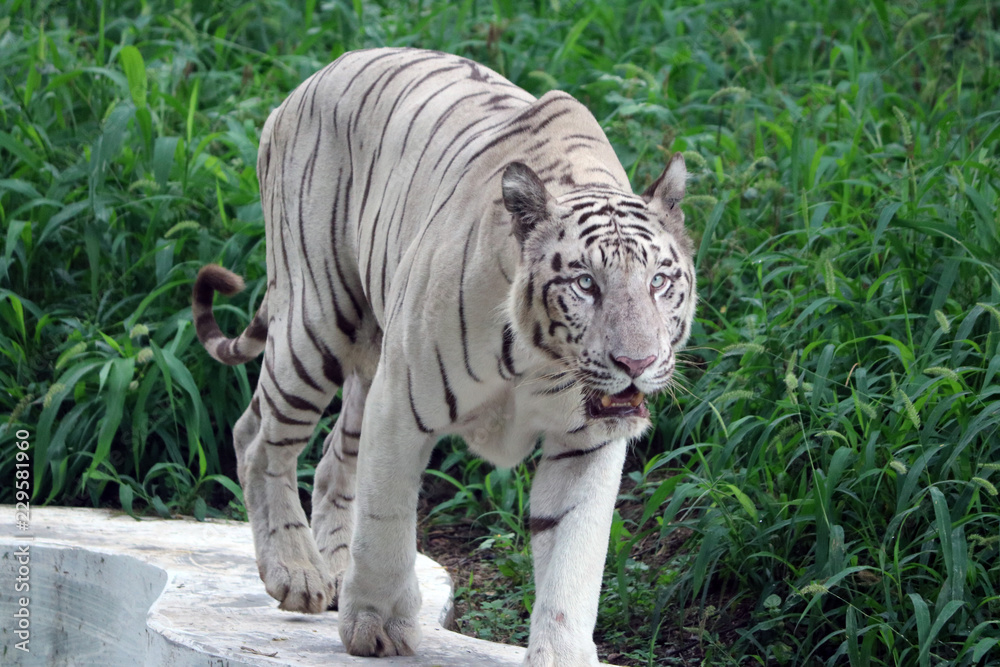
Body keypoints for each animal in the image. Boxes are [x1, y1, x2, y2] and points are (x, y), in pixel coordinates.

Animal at [191, 47, 695, 666]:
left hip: (368, 351)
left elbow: (573, 556)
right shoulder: (400, 402)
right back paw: (297, 574)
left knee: (330, 457)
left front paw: (562, 654)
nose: (637, 364)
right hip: (315, 320)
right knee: (259, 440)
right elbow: (386, 517)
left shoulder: (587, 442)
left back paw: (334, 571)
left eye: (659, 282)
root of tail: (304, 85)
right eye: (585, 284)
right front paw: (378, 625)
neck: (543, 365)